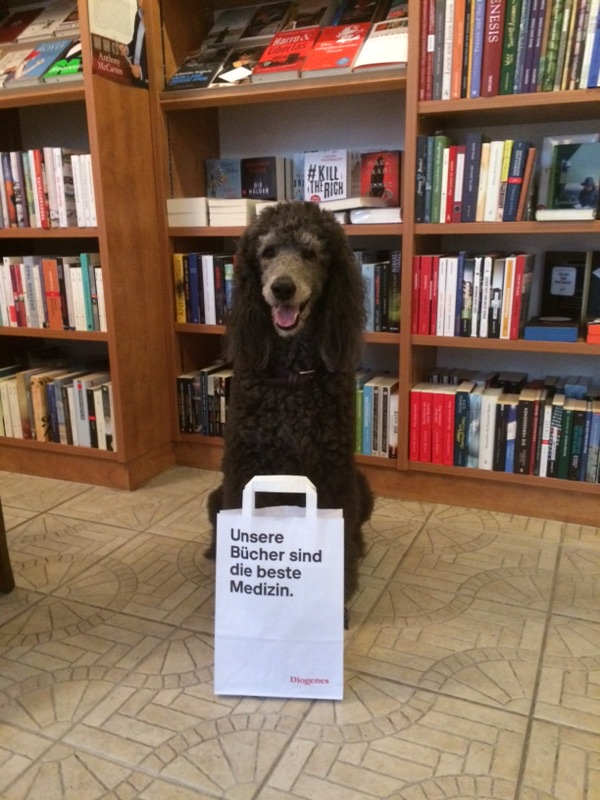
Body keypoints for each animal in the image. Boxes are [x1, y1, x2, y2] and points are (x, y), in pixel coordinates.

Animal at [209, 200, 372, 608]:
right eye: (267, 253)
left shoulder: (331, 476)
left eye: (310, 254)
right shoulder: (244, 470)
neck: (292, 379)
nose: (282, 288)